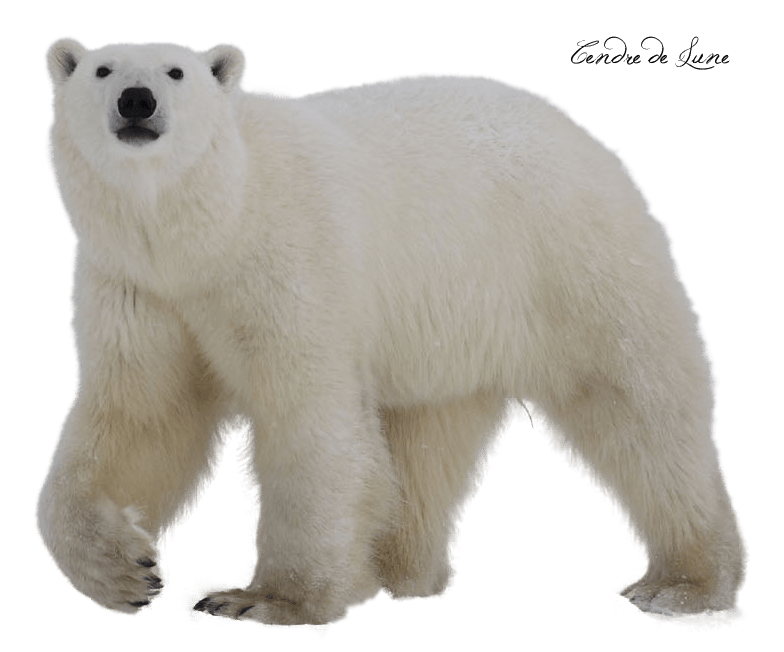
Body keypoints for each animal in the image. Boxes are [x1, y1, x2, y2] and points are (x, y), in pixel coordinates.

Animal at [37, 35, 748, 634]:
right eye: (102, 69)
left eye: (176, 71)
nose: (136, 100)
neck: (209, 228)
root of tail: (587, 133)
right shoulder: (138, 285)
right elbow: (142, 416)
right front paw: (126, 572)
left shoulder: (286, 258)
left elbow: (308, 416)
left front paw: (260, 598)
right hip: (449, 327)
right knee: (425, 442)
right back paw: (401, 572)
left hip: (569, 259)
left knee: (638, 404)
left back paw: (685, 587)